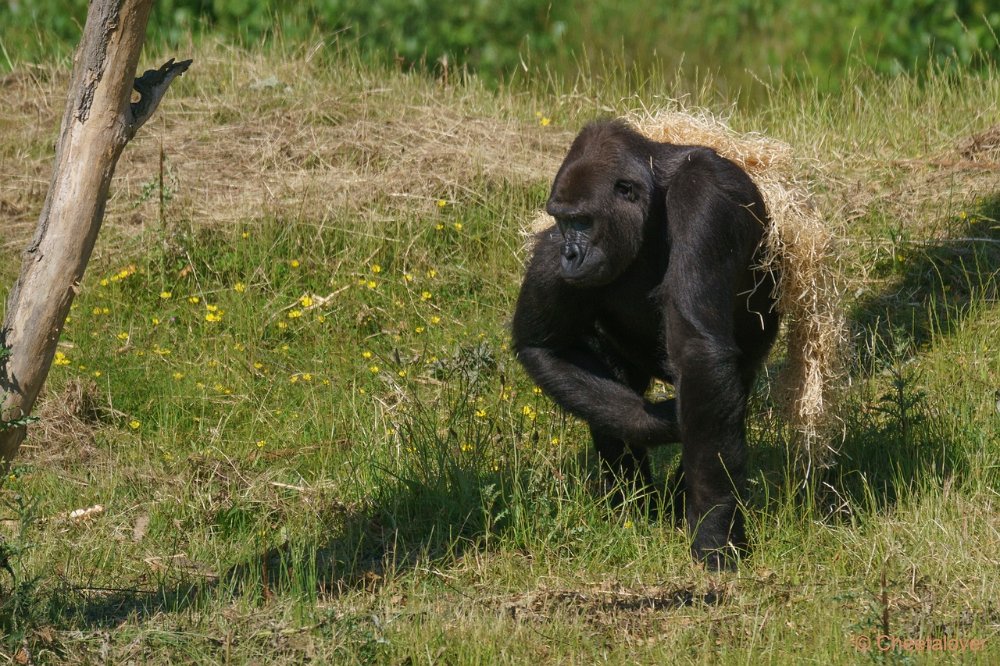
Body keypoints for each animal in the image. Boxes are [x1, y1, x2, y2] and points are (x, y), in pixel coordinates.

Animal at [508, 118, 780, 564]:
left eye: (582, 221)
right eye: (564, 221)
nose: (569, 255)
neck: (654, 197)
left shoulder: (705, 198)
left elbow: (698, 353)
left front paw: (714, 527)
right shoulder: (548, 248)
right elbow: (546, 349)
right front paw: (659, 423)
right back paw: (633, 502)